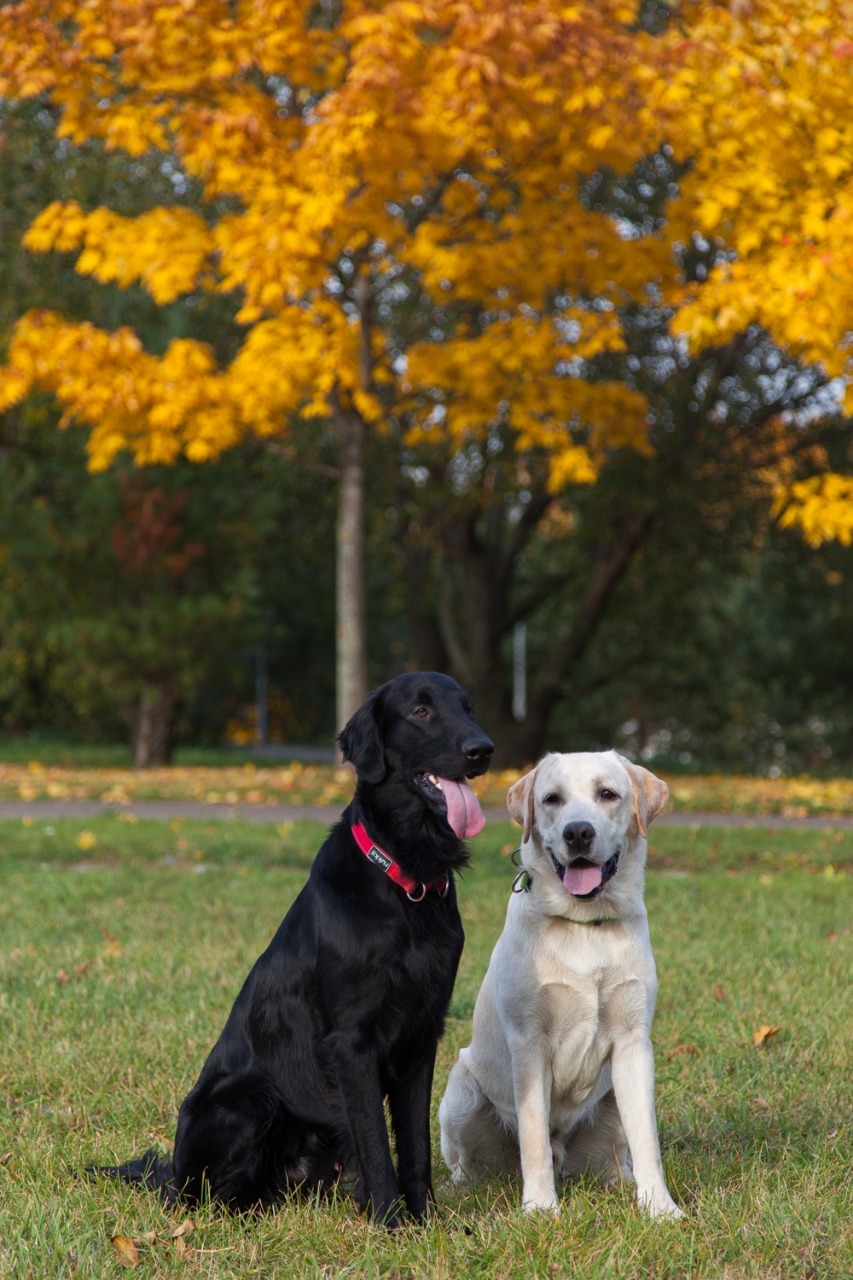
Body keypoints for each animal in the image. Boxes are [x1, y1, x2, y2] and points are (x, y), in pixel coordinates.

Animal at [92, 670, 491, 1218]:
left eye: (468, 708)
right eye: (421, 711)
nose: (483, 749)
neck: (404, 882)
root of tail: (171, 1173)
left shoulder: (422, 1034)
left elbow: (415, 1145)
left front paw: (427, 1219)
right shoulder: (351, 1042)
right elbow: (376, 1144)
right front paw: (392, 1221)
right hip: (249, 1100)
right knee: (204, 1198)